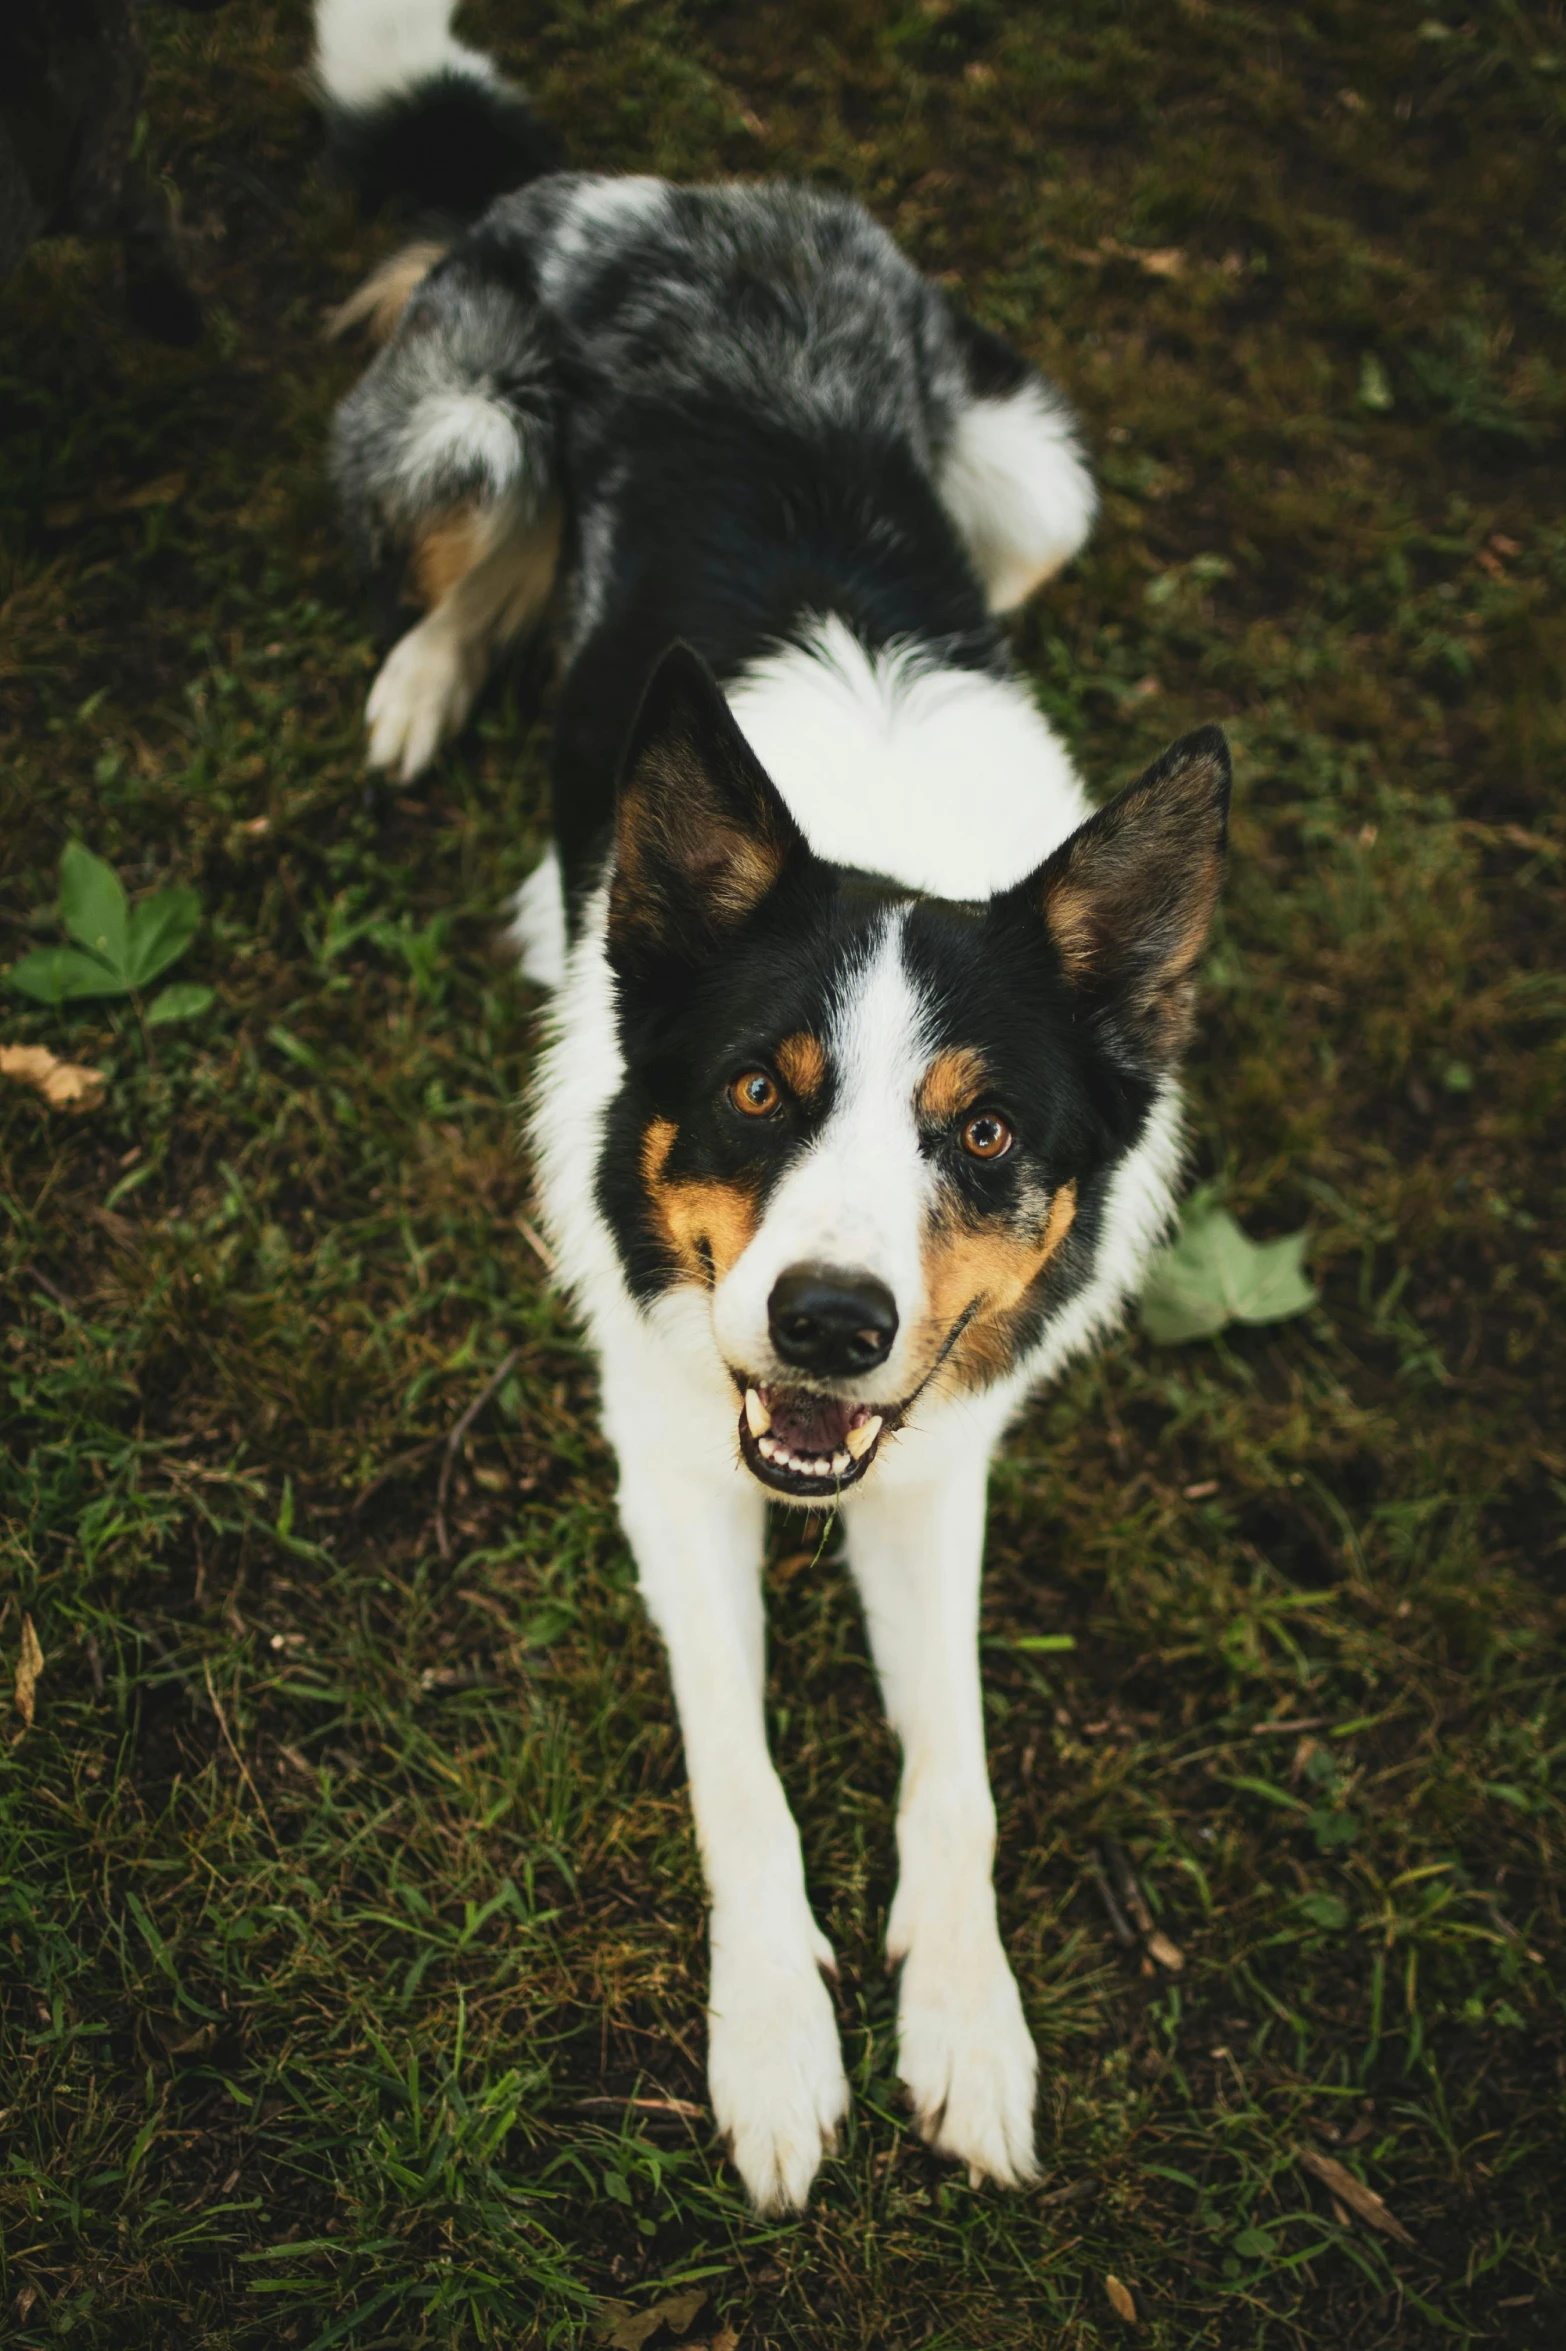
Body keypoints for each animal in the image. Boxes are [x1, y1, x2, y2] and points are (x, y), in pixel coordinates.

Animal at [310, 0, 1222, 2209]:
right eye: (756, 1087)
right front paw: (778, 2043)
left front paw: (967, 2026)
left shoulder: (935, 1453)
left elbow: (958, 1771)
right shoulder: (667, 1449)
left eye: (985, 1133)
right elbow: (741, 1776)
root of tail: (658, 191)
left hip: (1036, 477)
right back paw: (430, 686)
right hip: (451, 433)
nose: (826, 1323)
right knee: (489, 560)